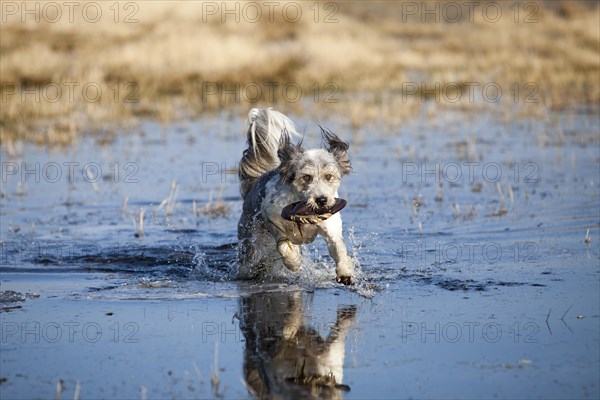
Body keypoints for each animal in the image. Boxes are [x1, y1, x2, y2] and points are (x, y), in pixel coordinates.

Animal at [237, 108, 354, 284]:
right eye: (306, 177)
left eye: (328, 176)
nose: (321, 200)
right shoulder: (272, 217)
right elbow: (283, 244)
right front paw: (293, 262)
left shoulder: (331, 226)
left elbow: (339, 248)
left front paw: (345, 272)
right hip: (249, 234)